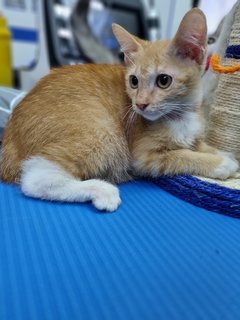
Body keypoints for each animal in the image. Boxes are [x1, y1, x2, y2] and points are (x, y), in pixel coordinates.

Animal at [0, 7, 238, 211]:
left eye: (163, 81)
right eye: (133, 81)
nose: (140, 104)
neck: (181, 115)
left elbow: (200, 145)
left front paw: (223, 153)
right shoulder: (144, 156)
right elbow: (182, 155)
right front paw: (221, 163)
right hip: (100, 130)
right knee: (36, 178)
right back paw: (101, 190)